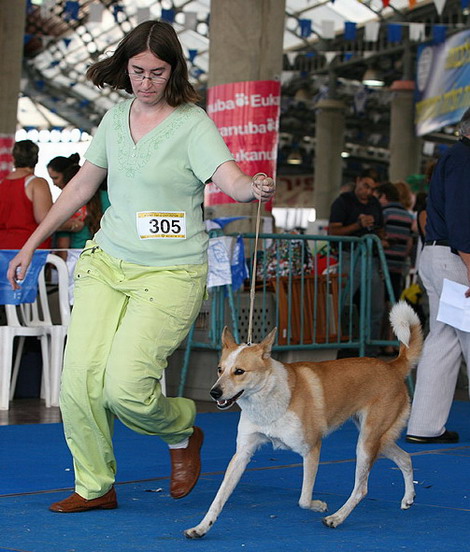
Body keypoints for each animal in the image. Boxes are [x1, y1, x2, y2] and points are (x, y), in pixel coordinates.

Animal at [185, 302, 424, 540]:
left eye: (239, 371)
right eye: (219, 369)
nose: (214, 393)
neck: (268, 398)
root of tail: (392, 366)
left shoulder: (312, 449)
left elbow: (304, 499)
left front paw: (319, 506)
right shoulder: (242, 454)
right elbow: (218, 499)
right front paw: (201, 527)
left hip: (366, 444)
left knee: (361, 488)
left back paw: (336, 518)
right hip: (378, 440)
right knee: (406, 458)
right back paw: (408, 498)